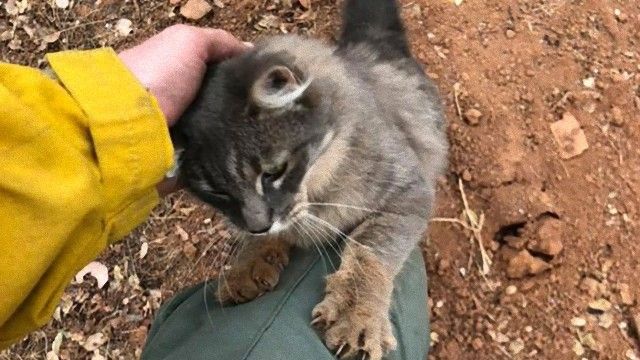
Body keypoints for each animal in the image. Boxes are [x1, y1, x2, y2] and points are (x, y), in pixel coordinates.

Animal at [172, 0, 448, 358]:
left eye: (274, 172)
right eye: (218, 193)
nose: (258, 226)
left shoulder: (409, 190)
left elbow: (370, 248)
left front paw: (357, 314)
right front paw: (247, 266)